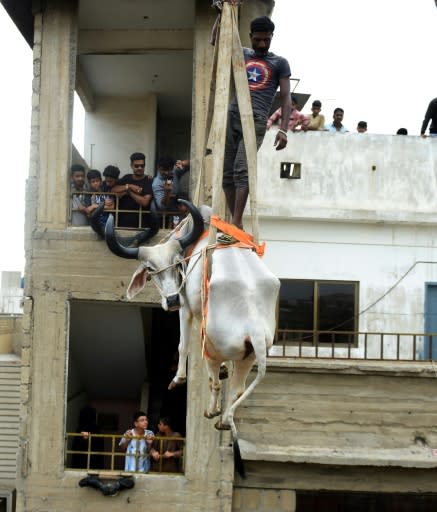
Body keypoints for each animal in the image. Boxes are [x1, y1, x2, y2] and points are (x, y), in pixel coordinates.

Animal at [104, 202, 278, 442]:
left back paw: (212, 411)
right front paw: (224, 370)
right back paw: (223, 420)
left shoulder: (185, 307)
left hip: (212, 348)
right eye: (150, 269)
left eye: (177, 263)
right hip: (248, 356)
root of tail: (255, 330)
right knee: (236, 390)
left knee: (215, 383)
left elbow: (183, 345)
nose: (171, 300)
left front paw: (178, 379)